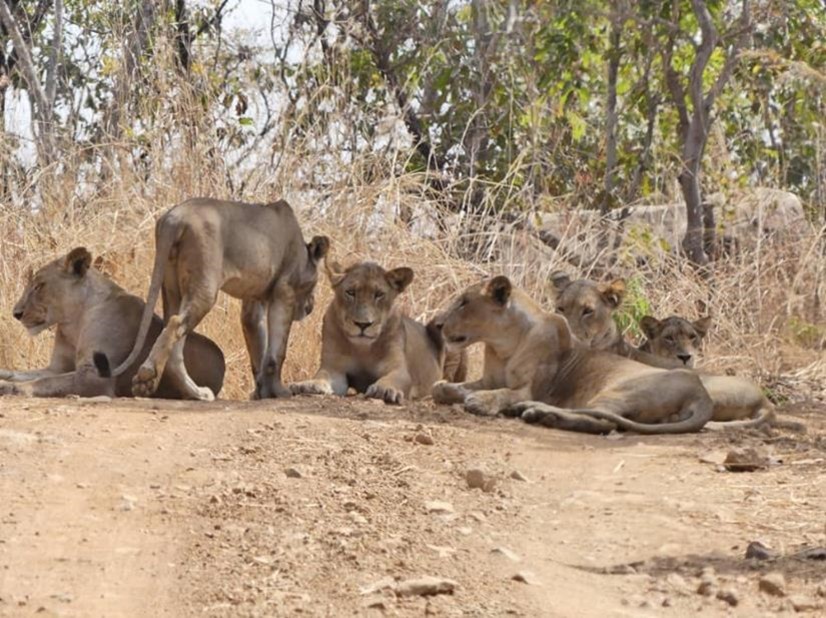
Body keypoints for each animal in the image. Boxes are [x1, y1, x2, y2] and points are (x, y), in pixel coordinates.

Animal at [0, 247, 224, 398]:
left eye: (39, 286)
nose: (16, 313)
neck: (73, 321)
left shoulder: (96, 376)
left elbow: (44, 381)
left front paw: (9, 387)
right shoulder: (57, 367)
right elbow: (24, 374)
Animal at [111, 198, 329, 401]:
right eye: (314, 285)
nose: (311, 307)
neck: (303, 253)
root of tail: (173, 218)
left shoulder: (254, 301)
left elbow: (259, 351)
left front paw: (261, 392)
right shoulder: (285, 291)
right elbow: (276, 353)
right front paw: (280, 392)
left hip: (171, 287)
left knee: (173, 341)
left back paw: (195, 393)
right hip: (205, 286)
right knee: (175, 324)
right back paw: (147, 378)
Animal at [290, 261, 464, 403]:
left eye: (379, 294)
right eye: (350, 292)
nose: (363, 324)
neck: (363, 349)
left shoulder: (398, 369)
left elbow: (393, 379)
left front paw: (385, 390)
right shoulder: (335, 369)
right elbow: (323, 376)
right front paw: (308, 384)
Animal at [431, 276, 714, 434]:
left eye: (464, 303)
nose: (438, 323)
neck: (503, 346)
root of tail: (702, 394)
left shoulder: (532, 388)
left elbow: (504, 393)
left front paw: (481, 401)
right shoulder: (486, 379)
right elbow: (446, 388)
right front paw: (448, 389)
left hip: (618, 390)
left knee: (604, 421)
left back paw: (536, 411)